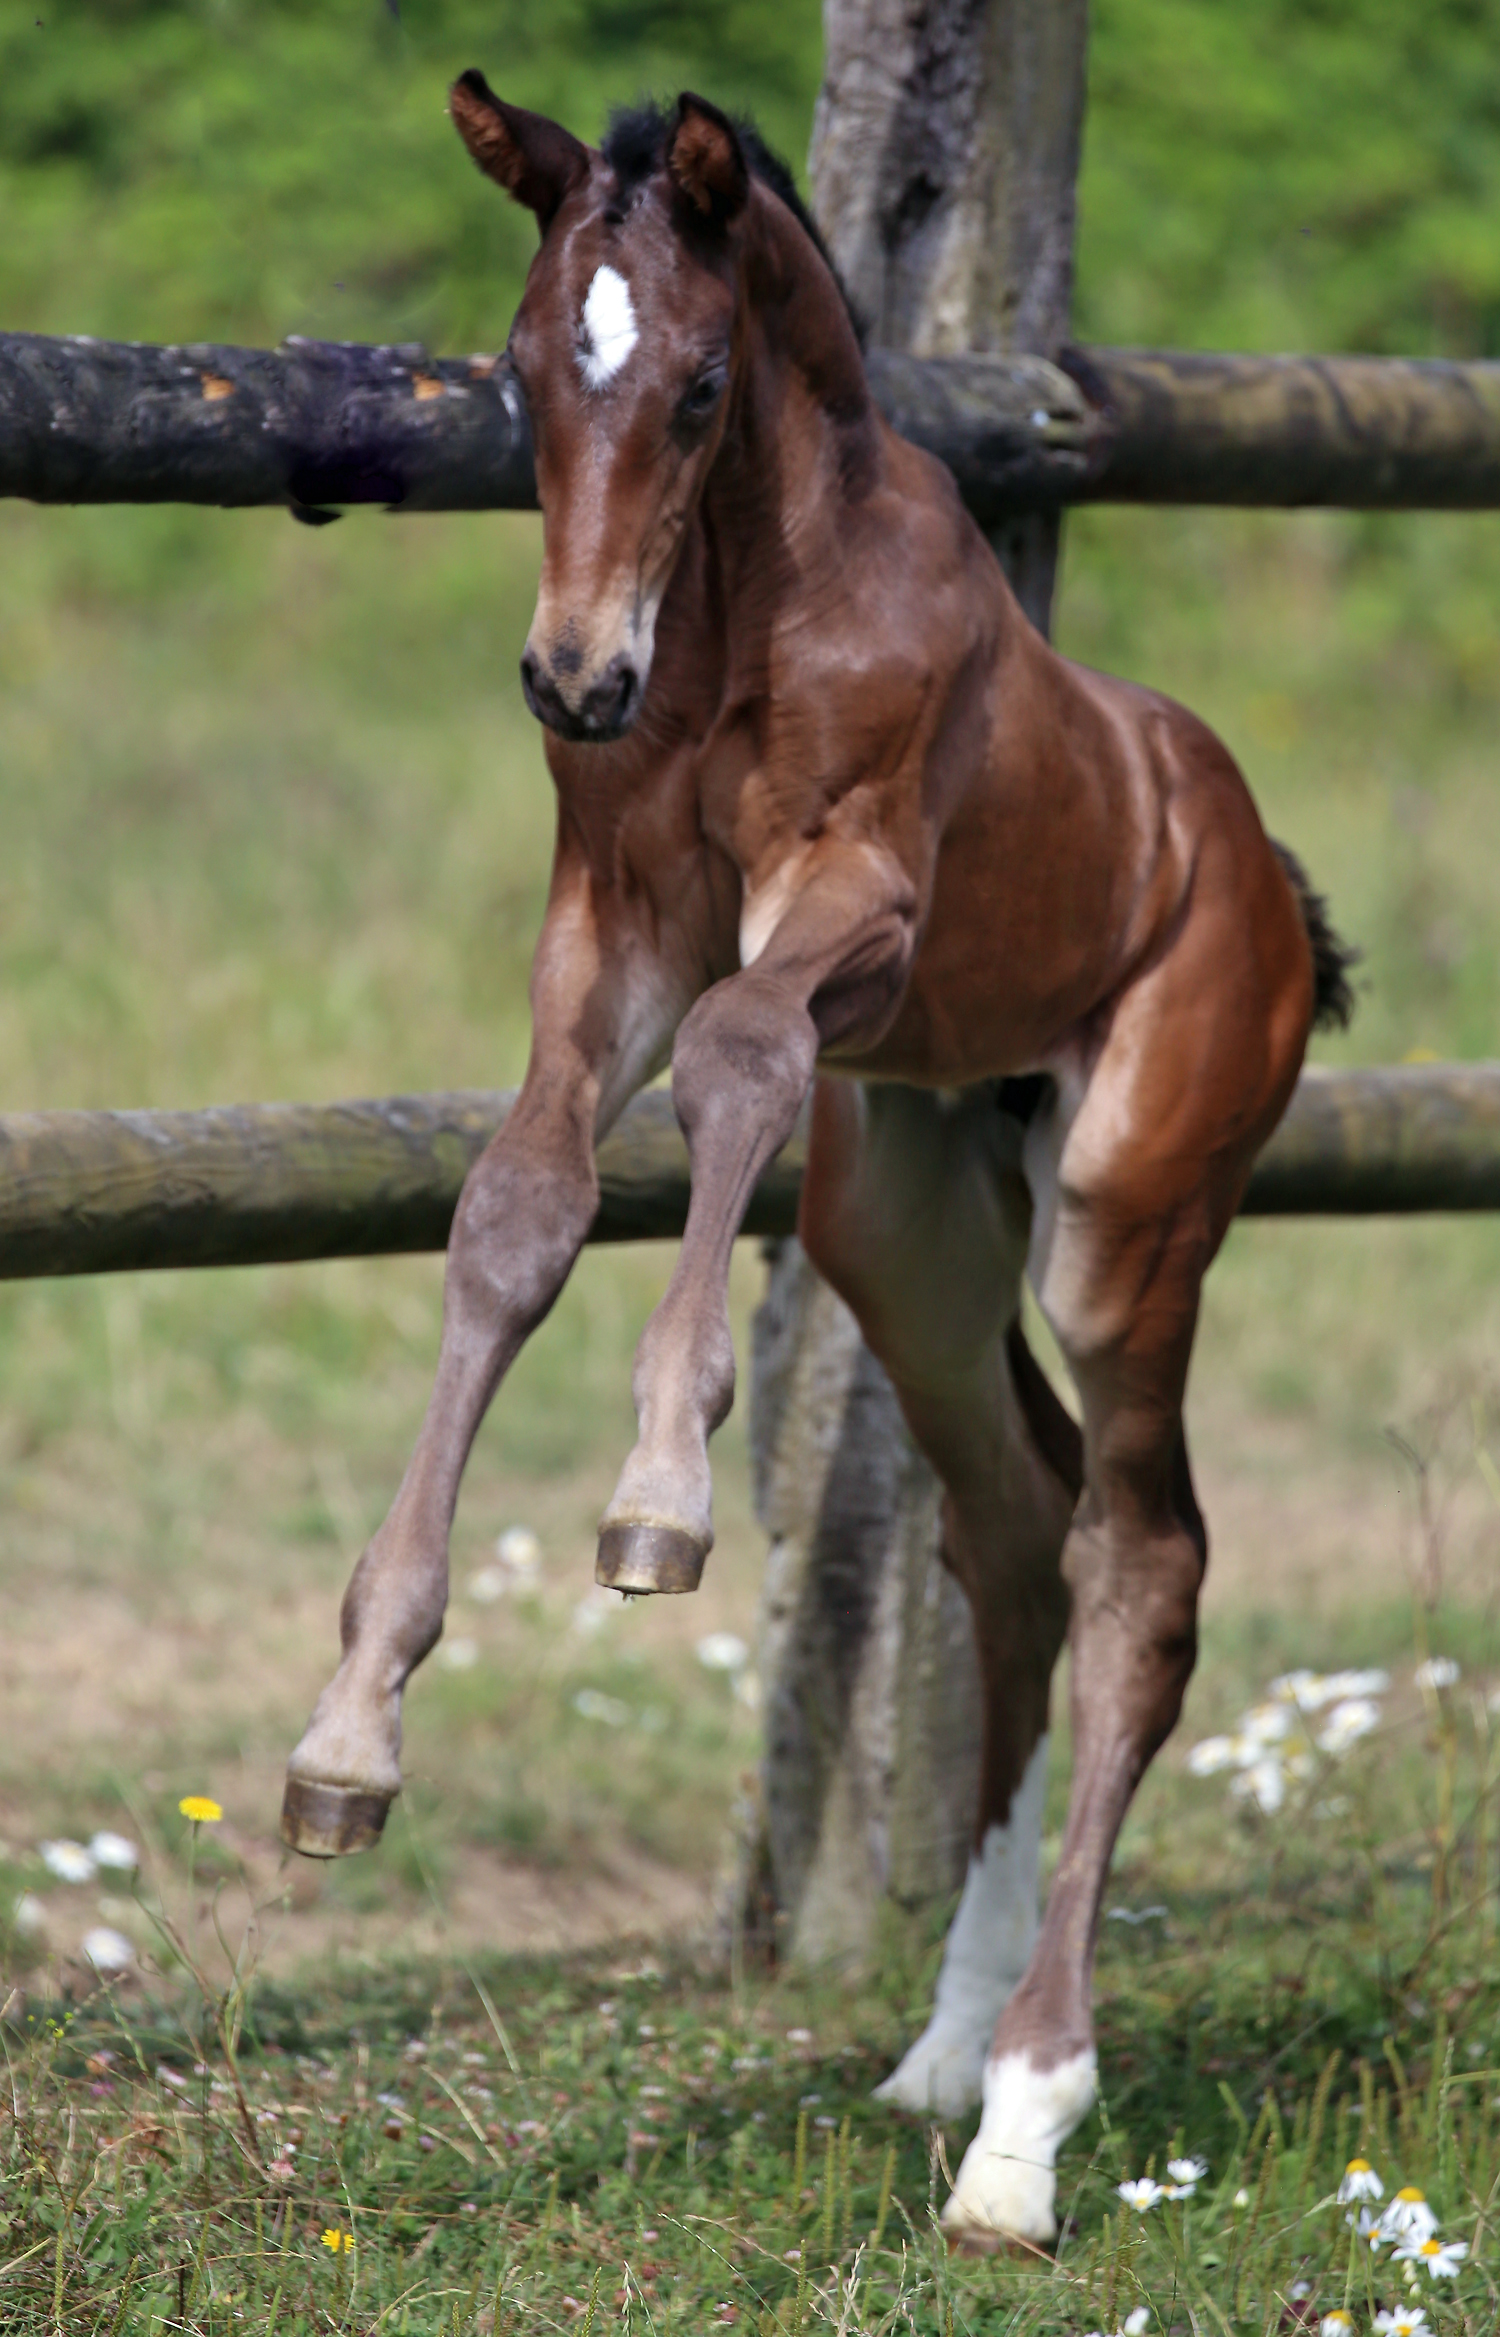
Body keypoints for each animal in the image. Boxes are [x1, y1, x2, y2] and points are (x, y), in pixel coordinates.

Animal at [278, 86, 1345, 2243]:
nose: (571, 676)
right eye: (520, 370)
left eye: (698, 386)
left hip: (1127, 1216)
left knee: (1147, 1562)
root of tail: (1259, 867)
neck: (740, 613)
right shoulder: (607, 925)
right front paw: (348, 1738)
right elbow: (513, 1213)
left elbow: (743, 1053)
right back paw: (942, 2050)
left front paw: (661, 1499)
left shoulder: (846, 904)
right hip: (905, 1228)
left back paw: (1026, 2121)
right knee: (1017, 1524)